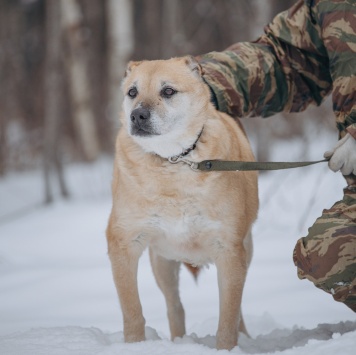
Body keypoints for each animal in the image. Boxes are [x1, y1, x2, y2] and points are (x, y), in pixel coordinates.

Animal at [105, 55, 258, 350]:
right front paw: (134, 345)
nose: (136, 116)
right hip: (162, 261)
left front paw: (226, 349)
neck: (174, 160)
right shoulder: (123, 242)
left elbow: (228, 318)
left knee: (237, 309)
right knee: (175, 306)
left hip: (244, 253)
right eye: (132, 92)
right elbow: (132, 310)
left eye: (168, 91)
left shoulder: (230, 249)